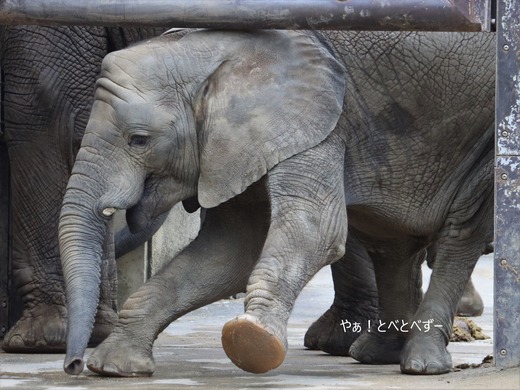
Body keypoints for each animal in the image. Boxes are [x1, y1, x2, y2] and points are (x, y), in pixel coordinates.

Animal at [59, 30, 494, 378]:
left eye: (138, 140)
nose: (73, 365)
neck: (220, 50)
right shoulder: (240, 144)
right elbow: (229, 252)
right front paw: (114, 366)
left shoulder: (316, 121)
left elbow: (315, 231)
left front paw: (250, 341)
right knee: (391, 244)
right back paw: (377, 354)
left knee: (461, 233)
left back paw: (421, 364)